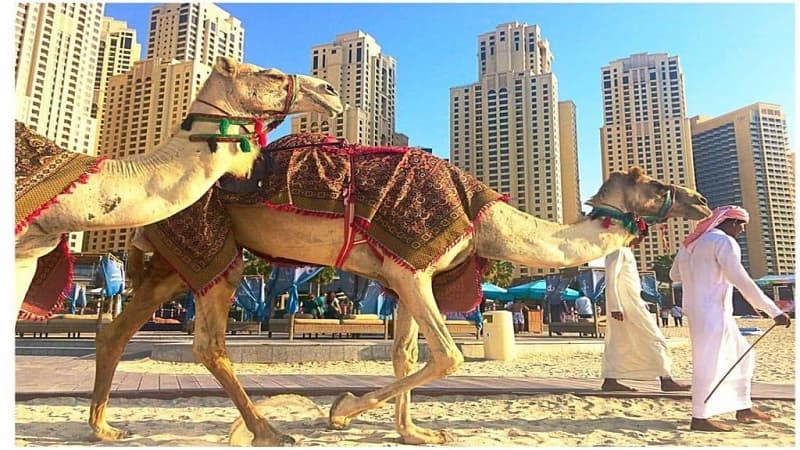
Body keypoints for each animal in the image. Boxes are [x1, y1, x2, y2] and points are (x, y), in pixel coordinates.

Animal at [88, 158, 710, 445]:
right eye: (657, 185)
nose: (702, 201)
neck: (484, 220)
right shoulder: (411, 269)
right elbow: (449, 357)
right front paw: (340, 410)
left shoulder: (407, 276)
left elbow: (407, 354)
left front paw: (415, 432)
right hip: (215, 247)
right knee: (208, 342)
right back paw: (267, 431)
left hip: (176, 263)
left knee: (117, 330)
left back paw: (102, 427)